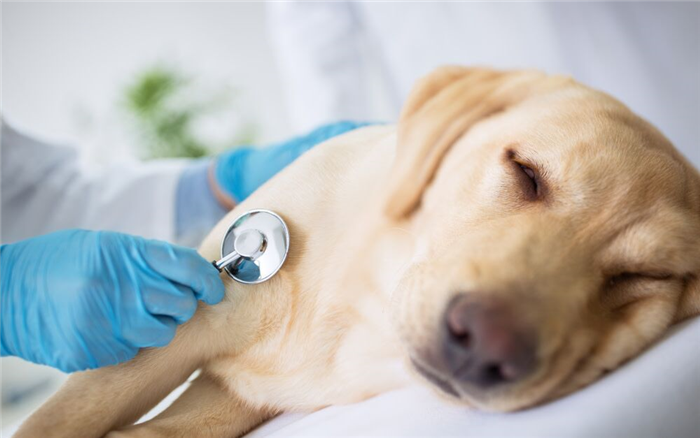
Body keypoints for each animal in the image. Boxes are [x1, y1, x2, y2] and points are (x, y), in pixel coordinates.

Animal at [16, 66, 700, 436]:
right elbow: (55, 421)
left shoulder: (232, 401)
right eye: (527, 174)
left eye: (640, 274)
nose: (485, 346)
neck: (353, 316)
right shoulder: (177, 328)